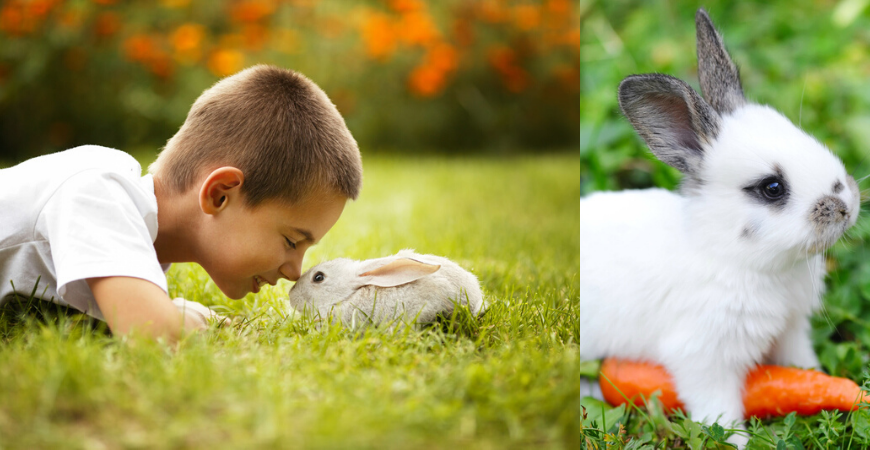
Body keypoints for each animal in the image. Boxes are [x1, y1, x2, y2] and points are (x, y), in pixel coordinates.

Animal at [584, 8, 860, 442]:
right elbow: (720, 411)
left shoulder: (791, 332)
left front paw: (820, 382)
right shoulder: (704, 359)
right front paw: (737, 442)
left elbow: (801, 366)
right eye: (772, 188)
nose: (846, 205)